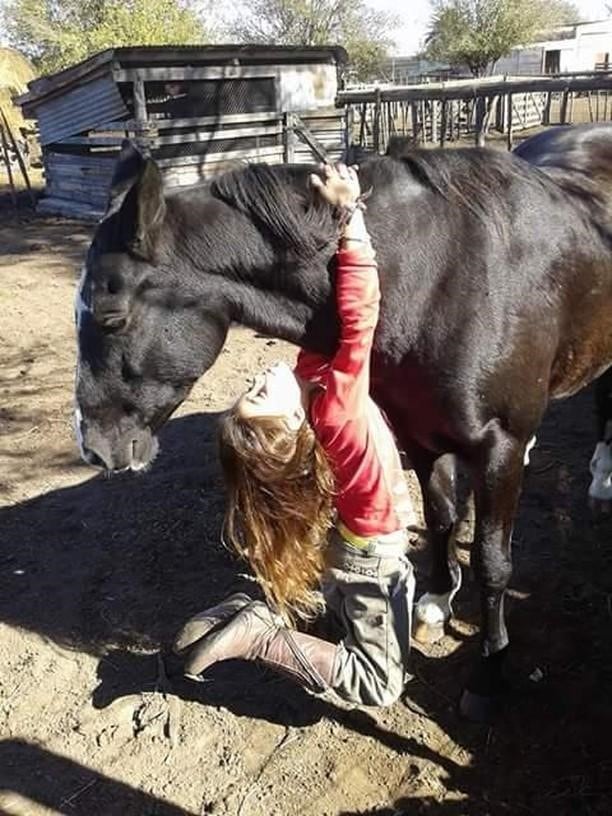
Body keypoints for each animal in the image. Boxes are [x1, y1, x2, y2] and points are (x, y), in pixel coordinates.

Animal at [75, 124, 612, 716]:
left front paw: (489, 675)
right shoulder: (419, 436)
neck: (440, 275)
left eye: (112, 318)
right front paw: (436, 601)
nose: (95, 446)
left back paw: (602, 480)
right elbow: (443, 517)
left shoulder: (501, 447)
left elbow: (494, 563)